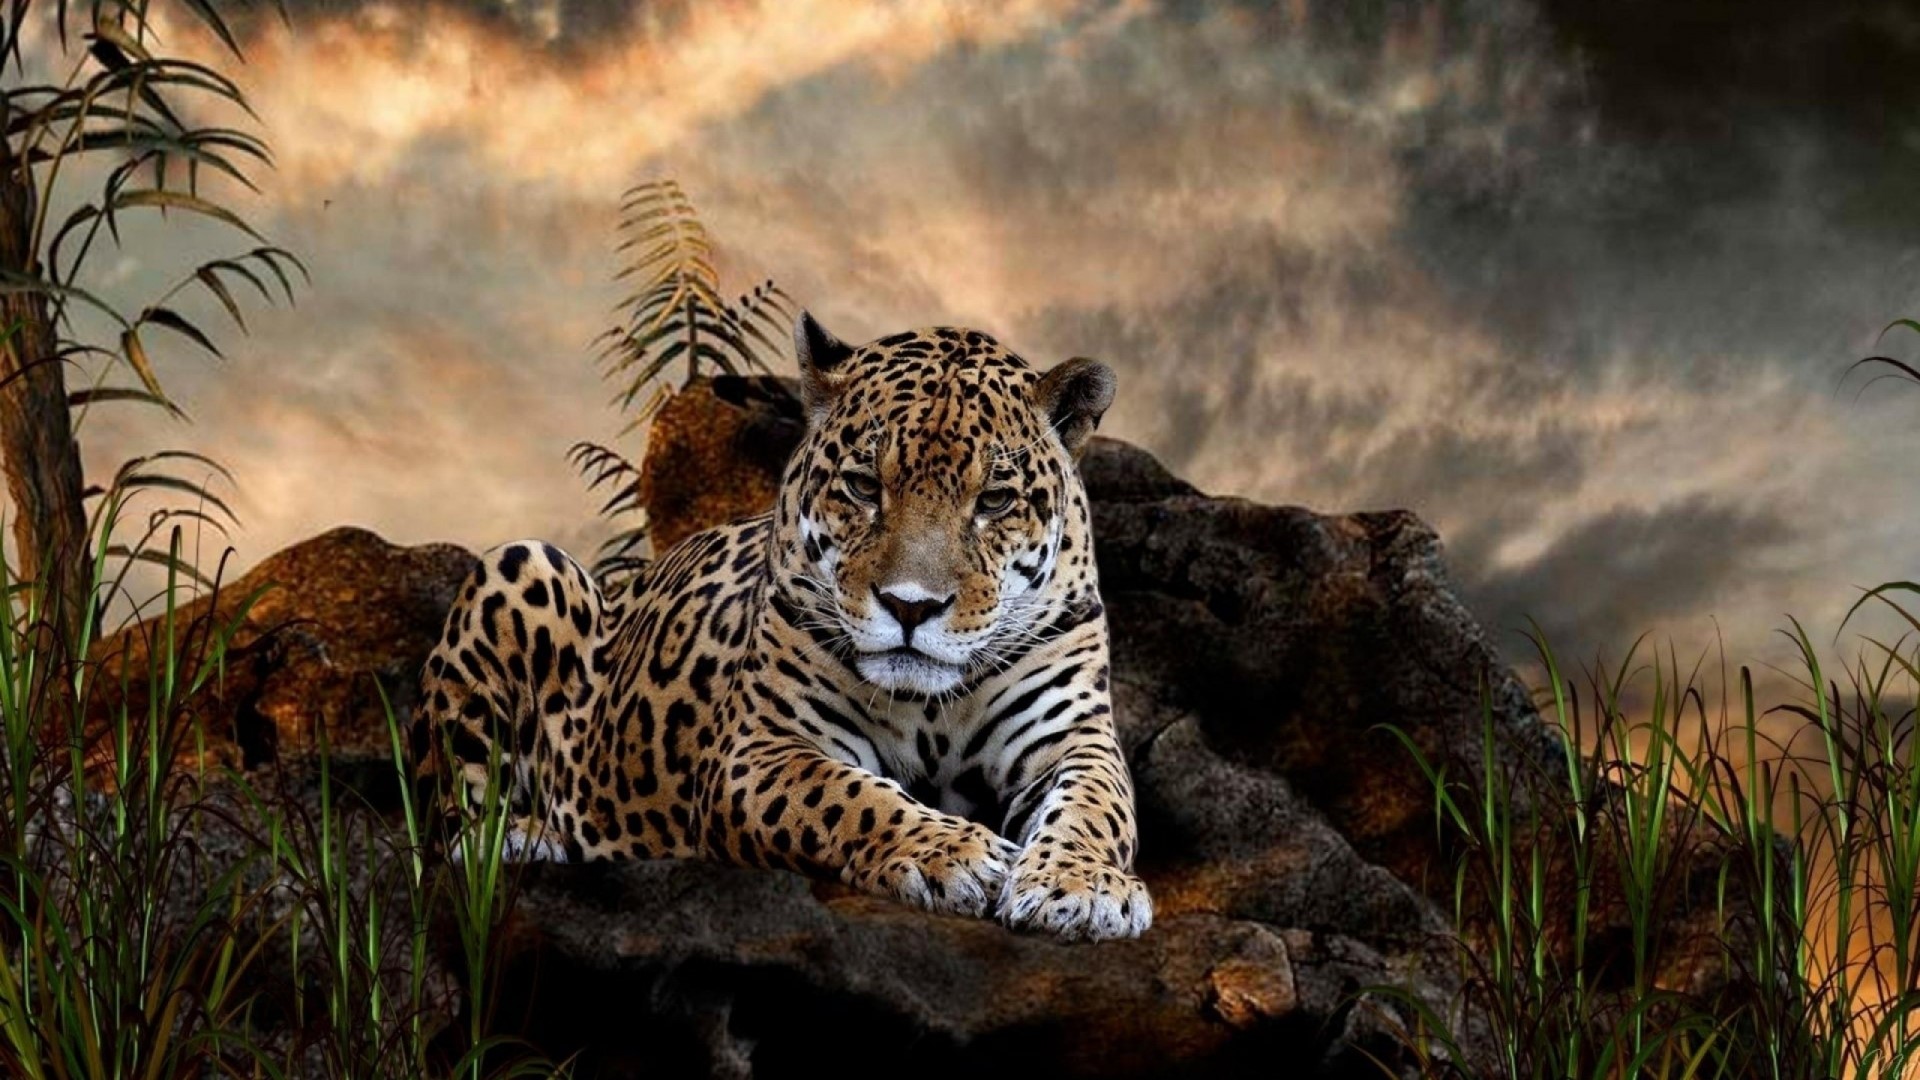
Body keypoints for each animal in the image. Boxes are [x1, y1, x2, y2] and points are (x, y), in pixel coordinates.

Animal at [409, 312, 1151, 941]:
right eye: (863, 487)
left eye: (994, 501)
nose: (910, 606)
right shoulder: (761, 750)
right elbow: (850, 797)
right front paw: (956, 853)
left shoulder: (1072, 737)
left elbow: (1096, 806)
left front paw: (1082, 886)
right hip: (521, 564)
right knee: (448, 824)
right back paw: (527, 837)